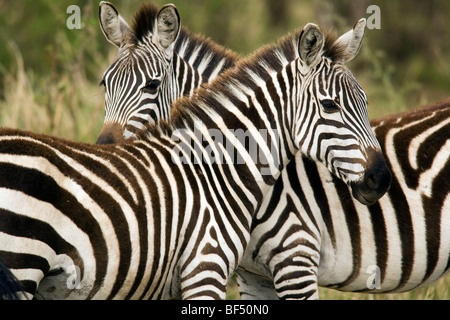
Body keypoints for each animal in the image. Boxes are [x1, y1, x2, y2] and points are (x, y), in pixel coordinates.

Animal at [0, 17, 390, 298]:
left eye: (366, 101)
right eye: (330, 105)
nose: (381, 178)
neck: (213, 170)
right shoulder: (208, 267)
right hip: (21, 261)